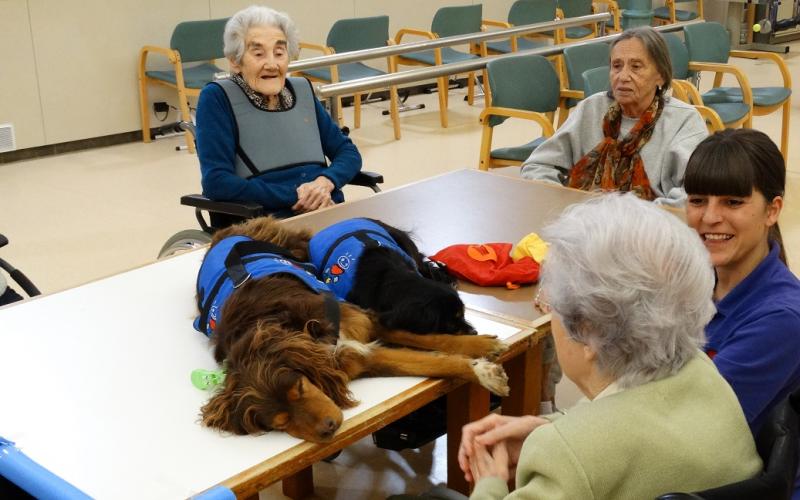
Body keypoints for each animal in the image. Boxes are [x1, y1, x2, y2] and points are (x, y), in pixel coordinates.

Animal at [197, 217, 510, 444]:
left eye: (299, 387)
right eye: (279, 423)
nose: (328, 429)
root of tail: (228, 230)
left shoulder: (366, 321)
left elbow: (428, 340)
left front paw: (483, 350)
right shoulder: (359, 358)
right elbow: (437, 362)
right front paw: (482, 369)